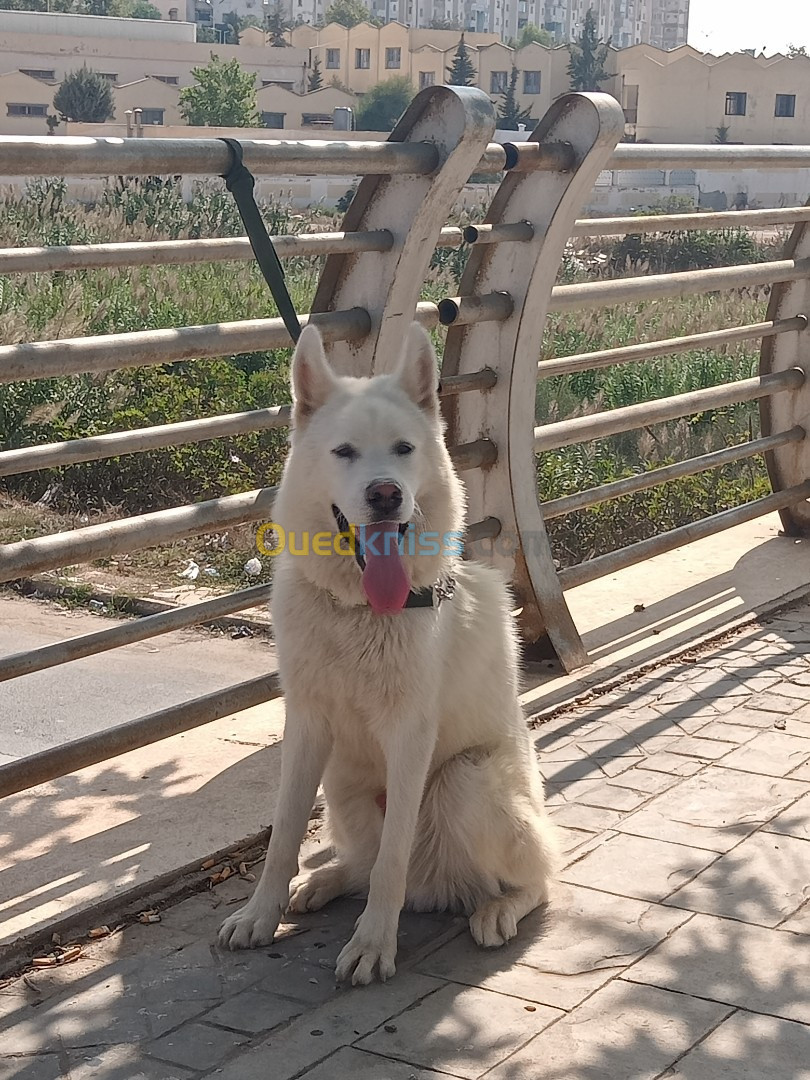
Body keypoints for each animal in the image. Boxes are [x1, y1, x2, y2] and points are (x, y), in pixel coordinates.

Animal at [217, 317, 557, 980]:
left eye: (403, 449)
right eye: (345, 451)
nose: (384, 495)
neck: (358, 611)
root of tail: (438, 888)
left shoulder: (410, 734)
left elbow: (391, 861)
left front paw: (374, 943)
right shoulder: (306, 724)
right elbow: (282, 838)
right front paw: (260, 914)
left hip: (462, 781)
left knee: (536, 877)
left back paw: (496, 910)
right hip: (341, 783)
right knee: (361, 861)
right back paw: (324, 882)